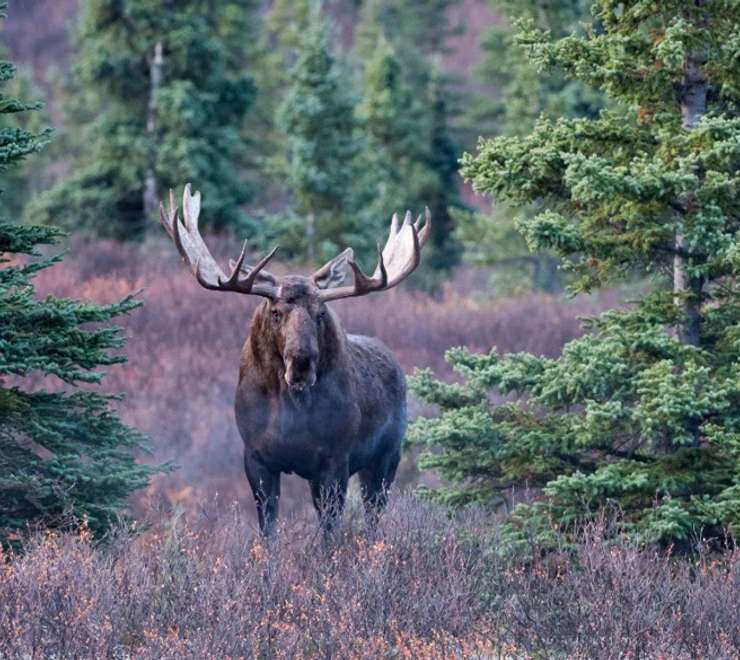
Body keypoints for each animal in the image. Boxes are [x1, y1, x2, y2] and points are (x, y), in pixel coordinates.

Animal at [160, 184, 431, 536]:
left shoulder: (335, 458)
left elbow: (330, 530)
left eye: (321, 314)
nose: (301, 362)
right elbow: (268, 529)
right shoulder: (256, 458)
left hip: (386, 456)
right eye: (276, 312)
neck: (289, 412)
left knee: (373, 514)